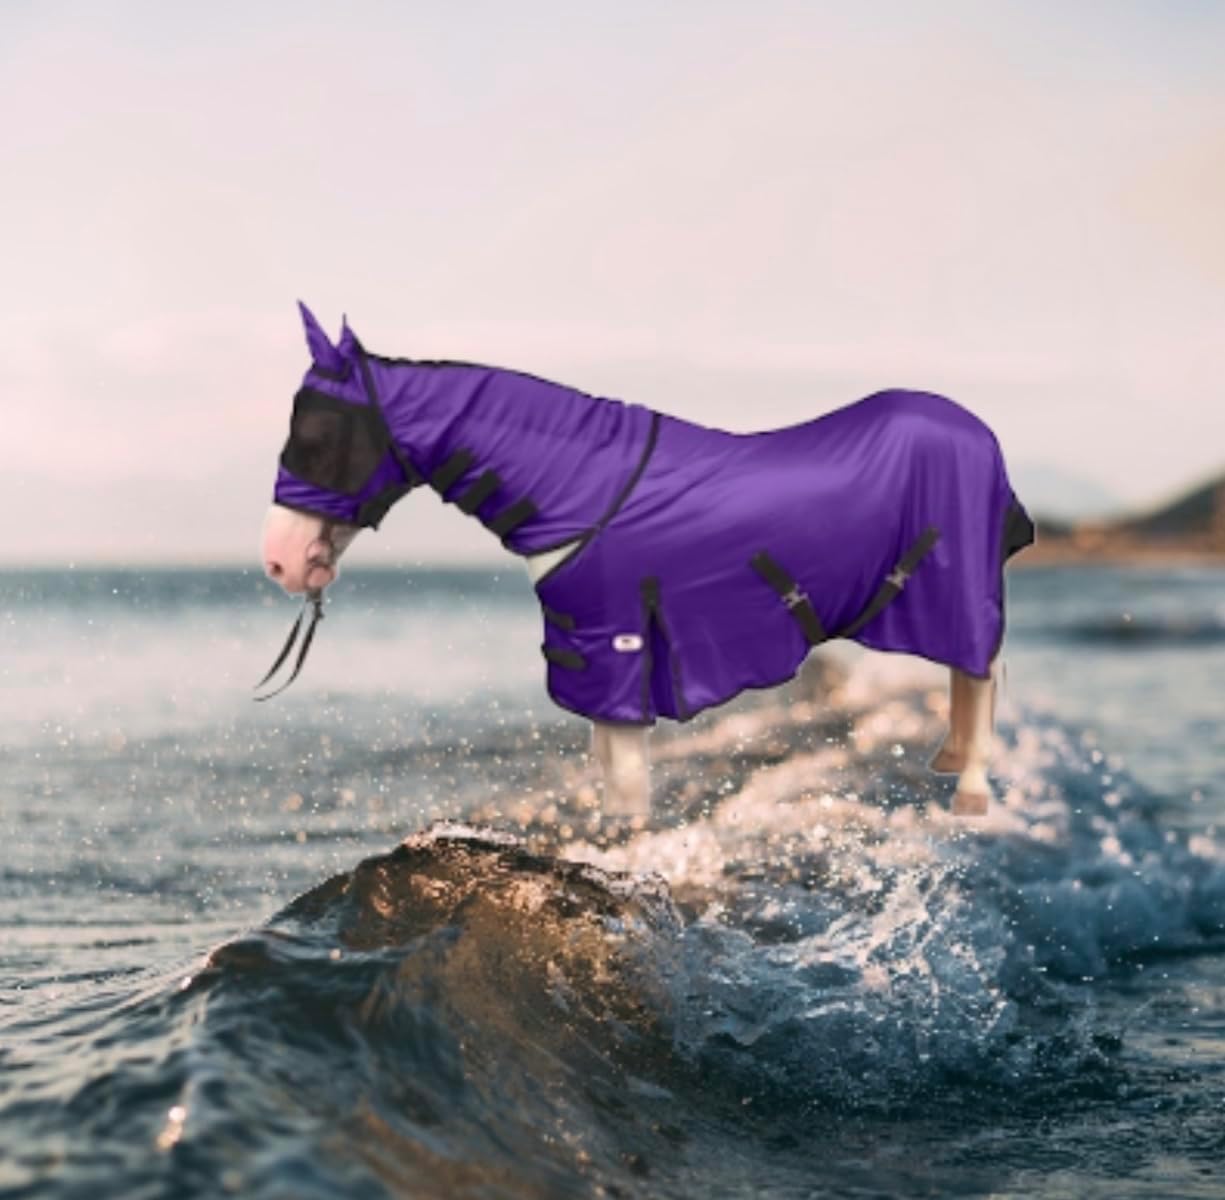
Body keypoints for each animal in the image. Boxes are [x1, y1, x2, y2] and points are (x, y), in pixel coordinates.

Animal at [260, 303, 1036, 819]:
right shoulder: (593, 659)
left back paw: (970, 792)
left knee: (979, 672)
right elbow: (608, 774)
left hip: (958, 592)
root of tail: (977, 430)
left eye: (320, 435)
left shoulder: (620, 650)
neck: (587, 491)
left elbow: (629, 783)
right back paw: (949, 758)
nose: (280, 564)